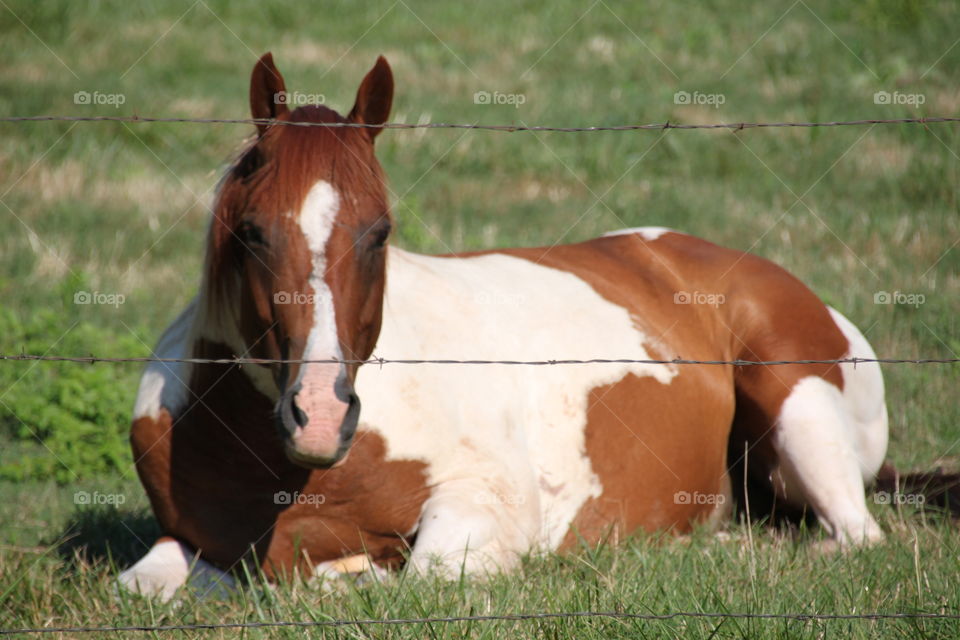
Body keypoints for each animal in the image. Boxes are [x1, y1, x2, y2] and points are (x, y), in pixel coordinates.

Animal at [118, 52, 884, 596]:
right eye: (251, 233)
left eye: (379, 232)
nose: (319, 417)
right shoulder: (189, 544)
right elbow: (144, 585)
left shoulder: (486, 510)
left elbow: (415, 574)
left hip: (798, 407)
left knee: (856, 535)